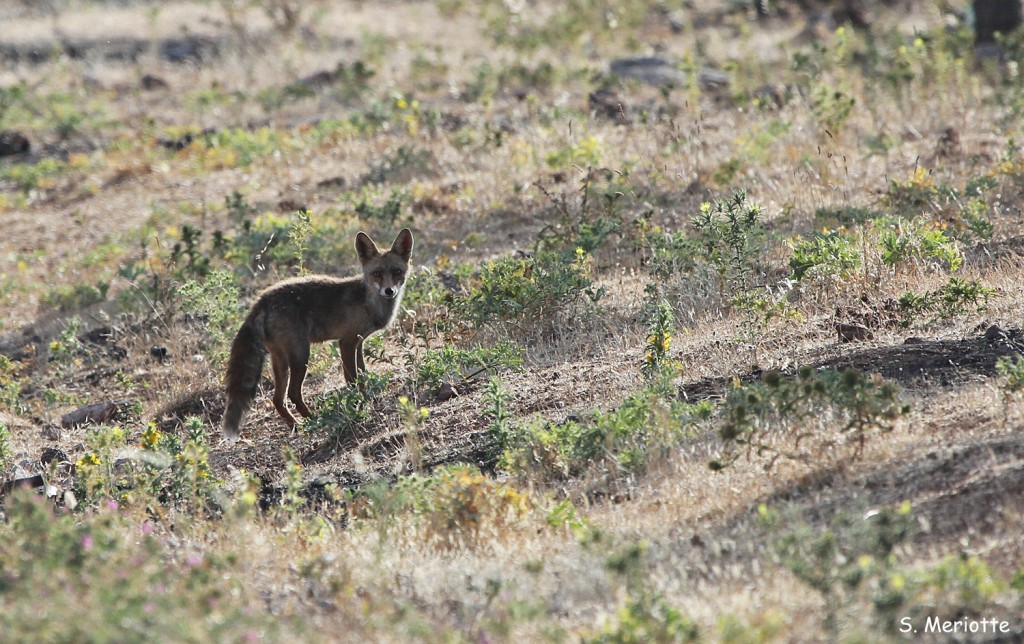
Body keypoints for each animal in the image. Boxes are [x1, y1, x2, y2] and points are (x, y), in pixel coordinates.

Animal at [221, 228, 413, 441]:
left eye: (396, 272)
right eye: (377, 274)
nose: (389, 291)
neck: (368, 302)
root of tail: (262, 299)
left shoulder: (358, 343)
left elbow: (362, 376)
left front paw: (368, 399)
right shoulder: (346, 342)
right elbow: (352, 380)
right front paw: (359, 404)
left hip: (281, 361)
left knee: (278, 399)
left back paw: (296, 426)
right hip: (301, 355)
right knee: (293, 393)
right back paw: (316, 420)